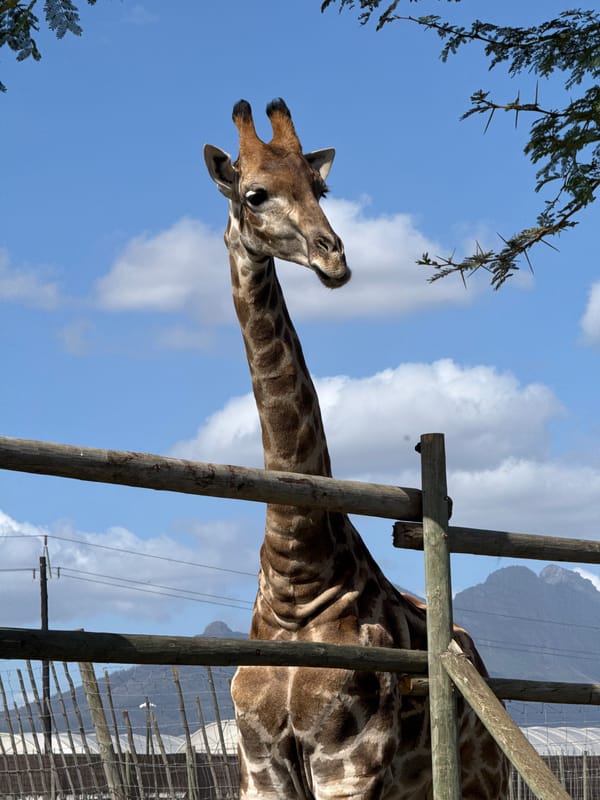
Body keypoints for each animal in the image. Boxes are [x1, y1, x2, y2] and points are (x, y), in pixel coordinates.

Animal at [203, 98, 509, 800]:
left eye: (320, 189)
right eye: (255, 195)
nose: (335, 257)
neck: (295, 579)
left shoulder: (348, 763)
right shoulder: (261, 769)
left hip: (483, 778)